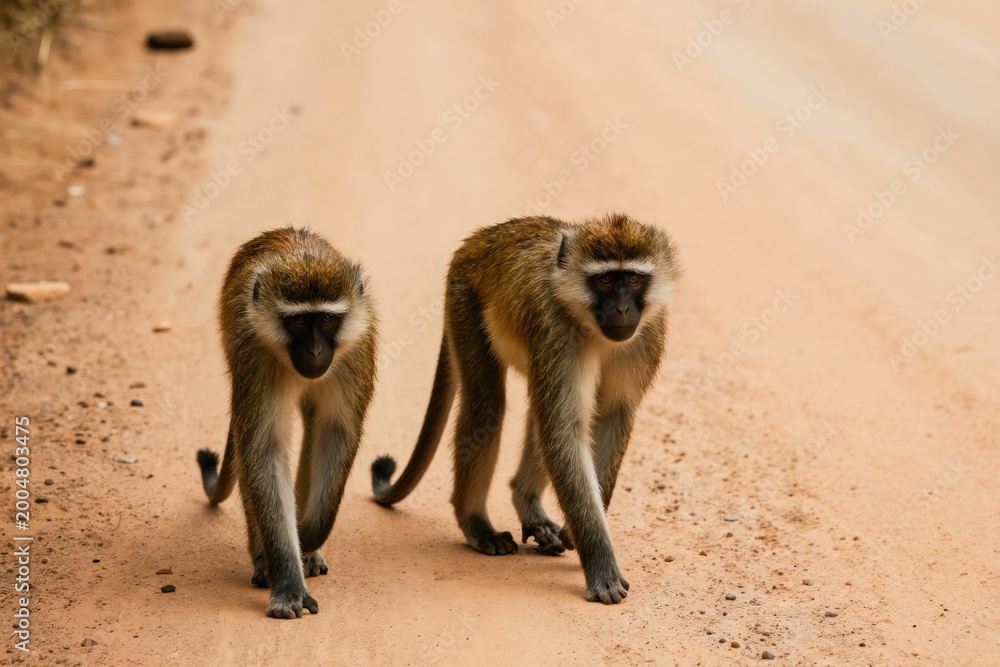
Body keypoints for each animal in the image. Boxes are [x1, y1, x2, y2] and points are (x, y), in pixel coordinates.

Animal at [196, 226, 377, 619]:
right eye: (298, 321)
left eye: (326, 320)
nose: (314, 351)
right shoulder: (254, 354)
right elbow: (264, 449)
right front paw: (288, 581)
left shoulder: (358, 347)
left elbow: (335, 432)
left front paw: (309, 534)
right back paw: (264, 558)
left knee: (314, 429)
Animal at [371, 213, 679, 604]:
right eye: (606, 279)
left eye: (635, 279)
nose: (622, 309)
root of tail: (478, 241)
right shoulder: (558, 332)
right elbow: (563, 430)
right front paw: (600, 563)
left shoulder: (648, 334)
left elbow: (611, 416)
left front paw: (575, 533)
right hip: (464, 301)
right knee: (487, 406)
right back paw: (475, 523)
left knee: (537, 409)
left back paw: (527, 500)